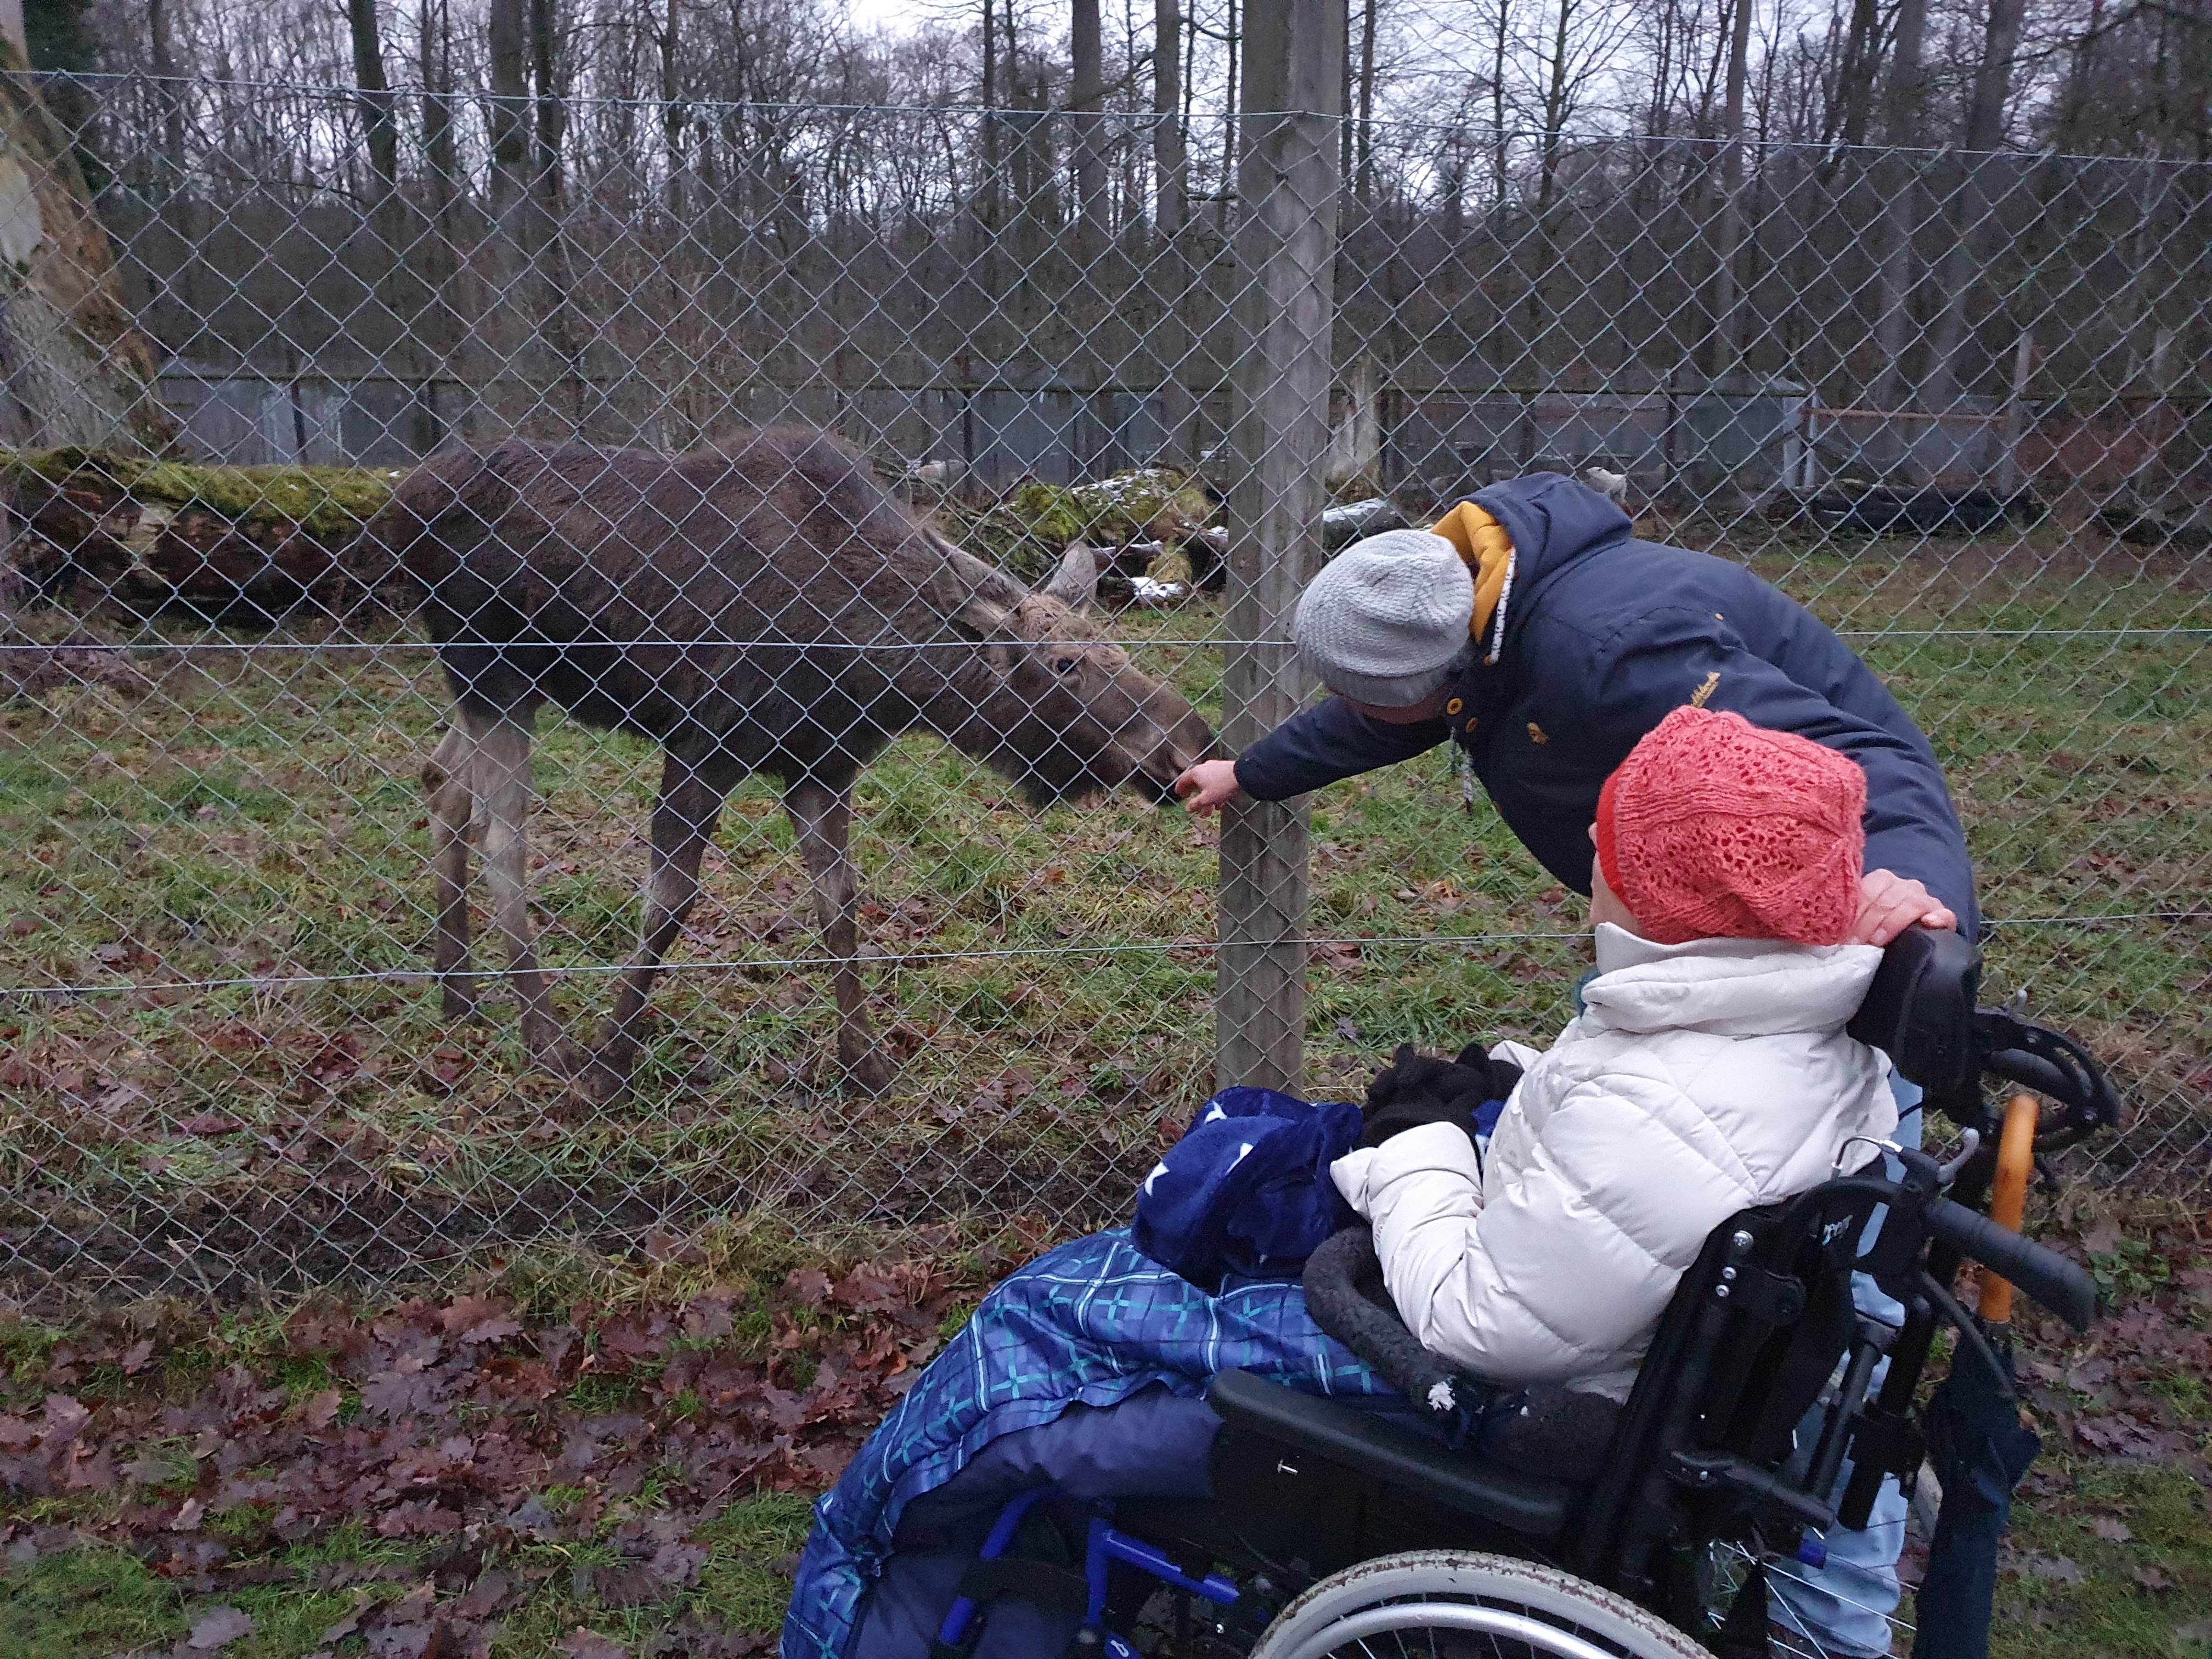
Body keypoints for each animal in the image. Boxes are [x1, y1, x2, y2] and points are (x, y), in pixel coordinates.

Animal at [380, 436, 1212, 1097]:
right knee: (503, 837)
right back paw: (545, 1038)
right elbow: (669, 906)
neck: (875, 672)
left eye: (1117, 649)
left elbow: (839, 907)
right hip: (488, 670)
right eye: (1065, 663)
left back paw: (459, 991)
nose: (1189, 743)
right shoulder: (704, 746)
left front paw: (865, 1066)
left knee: (442, 784)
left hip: (504, 687)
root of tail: (402, 498)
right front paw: (609, 1066)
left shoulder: (822, 768)